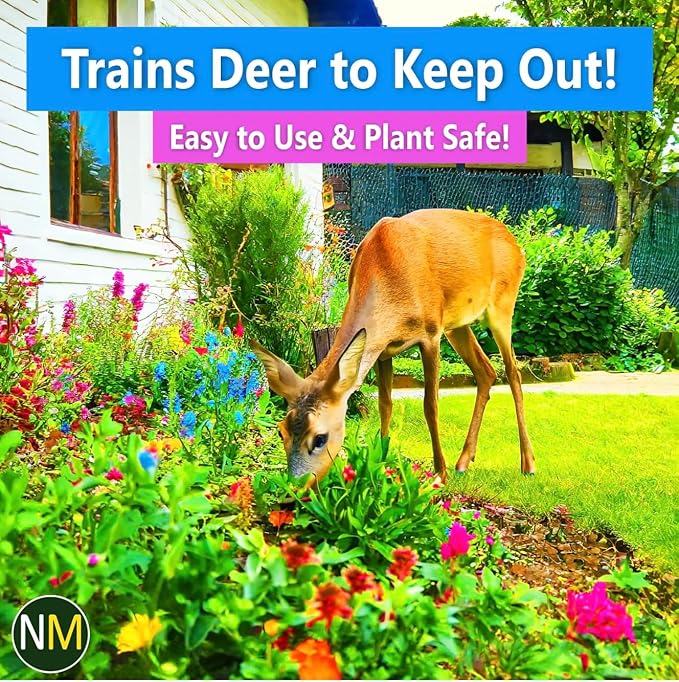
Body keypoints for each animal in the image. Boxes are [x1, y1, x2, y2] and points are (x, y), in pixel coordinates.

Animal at [251, 208, 535, 485]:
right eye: (281, 431)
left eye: (320, 437)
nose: (295, 486)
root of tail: (515, 244)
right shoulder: (382, 349)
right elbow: (384, 404)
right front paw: (382, 460)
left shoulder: (431, 334)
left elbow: (430, 405)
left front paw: (439, 474)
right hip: (457, 325)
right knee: (486, 371)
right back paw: (464, 461)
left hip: (502, 306)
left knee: (513, 372)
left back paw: (528, 464)